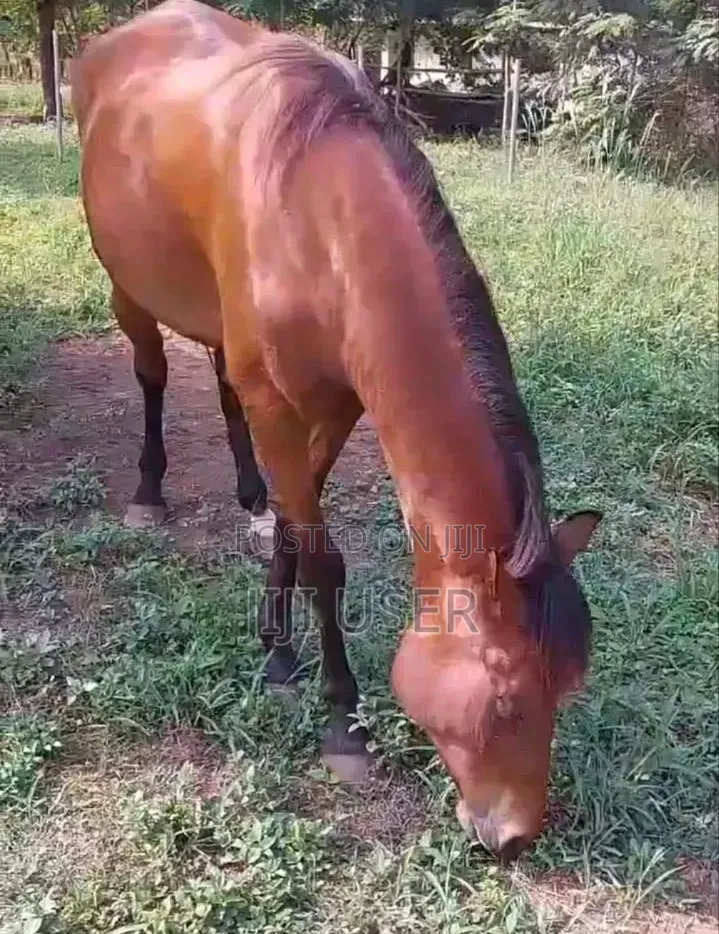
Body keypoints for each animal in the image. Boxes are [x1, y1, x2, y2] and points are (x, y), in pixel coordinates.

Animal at [70, 0, 602, 860]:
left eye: (568, 688)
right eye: (506, 703)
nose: (516, 837)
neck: (321, 220)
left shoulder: (338, 404)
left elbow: (296, 523)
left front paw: (275, 645)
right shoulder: (282, 404)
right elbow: (323, 557)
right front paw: (339, 717)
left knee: (221, 383)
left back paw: (248, 491)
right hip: (126, 284)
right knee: (152, 374)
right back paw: (149, 489)